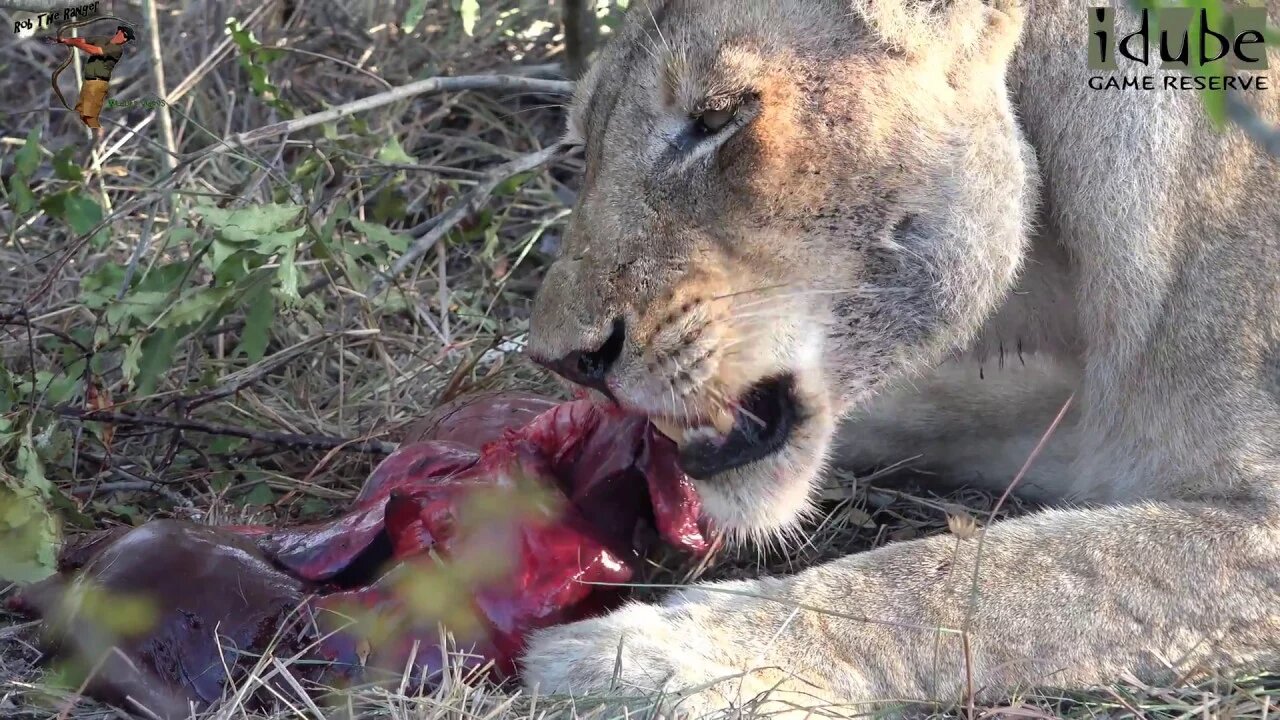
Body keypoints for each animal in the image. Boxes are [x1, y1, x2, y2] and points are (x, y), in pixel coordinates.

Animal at [520, 0, 1280, 715]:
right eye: (584, 140)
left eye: (718, 117)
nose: (562, 361)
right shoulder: (1084, 423)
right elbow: (929, 414)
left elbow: (983, 579)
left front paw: (648, 655)